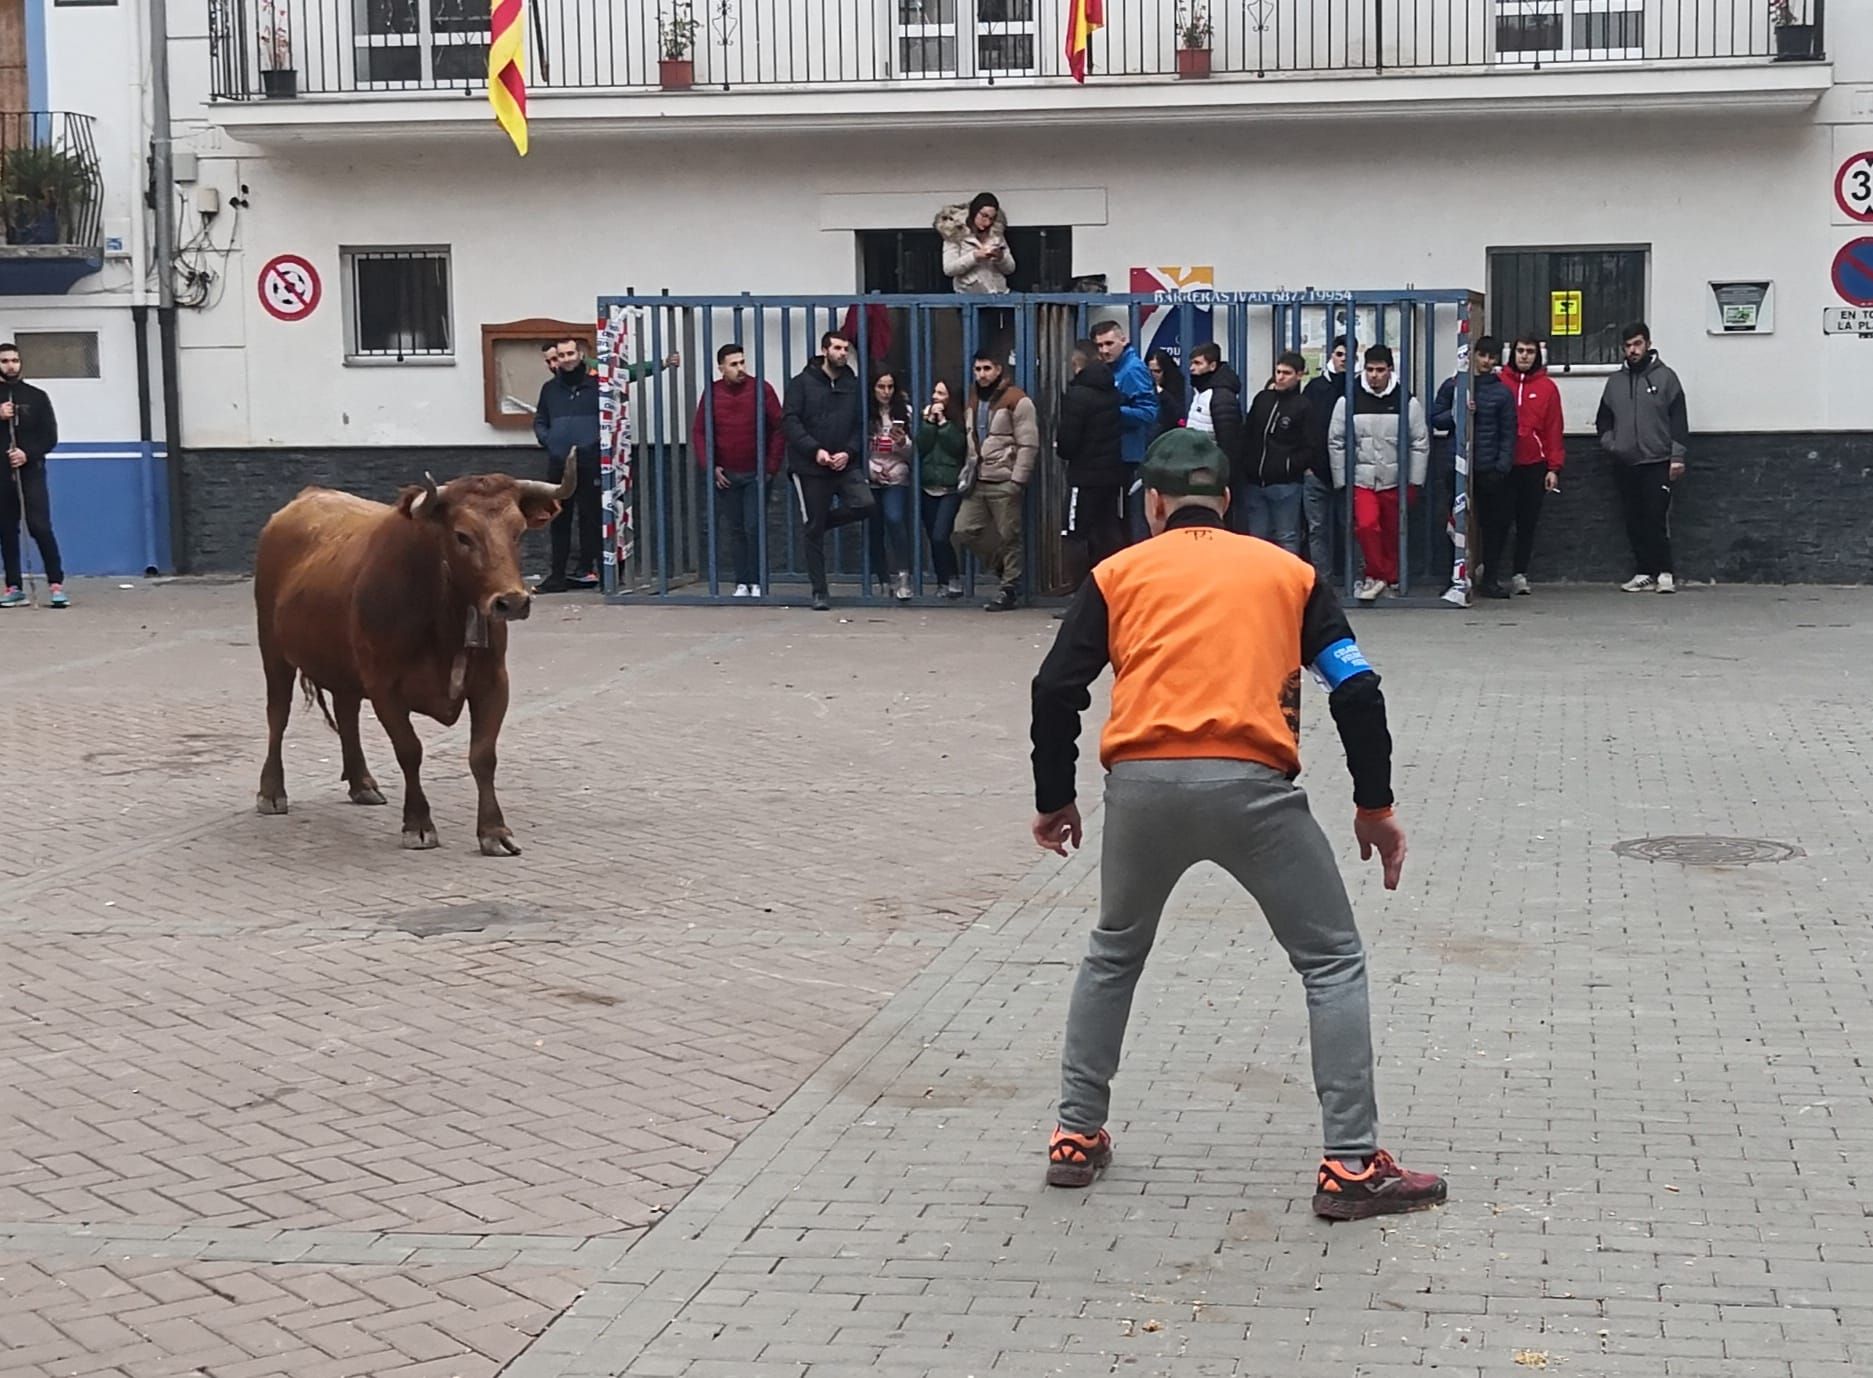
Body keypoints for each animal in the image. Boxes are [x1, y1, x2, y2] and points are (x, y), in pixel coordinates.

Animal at [254, 456, 576, 857]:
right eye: (462, 535)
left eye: (518, 532)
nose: (512, 602)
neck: (444, 613)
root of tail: (307, 497)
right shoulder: (385, 687)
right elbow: (410, 750)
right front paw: (418, 825)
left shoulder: (493, 683)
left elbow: (483, 755)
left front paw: (494, 831)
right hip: (273, 651)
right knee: (278, 716)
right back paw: (271, 791)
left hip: (344, 667)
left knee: (346, 713)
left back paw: (362, 783)